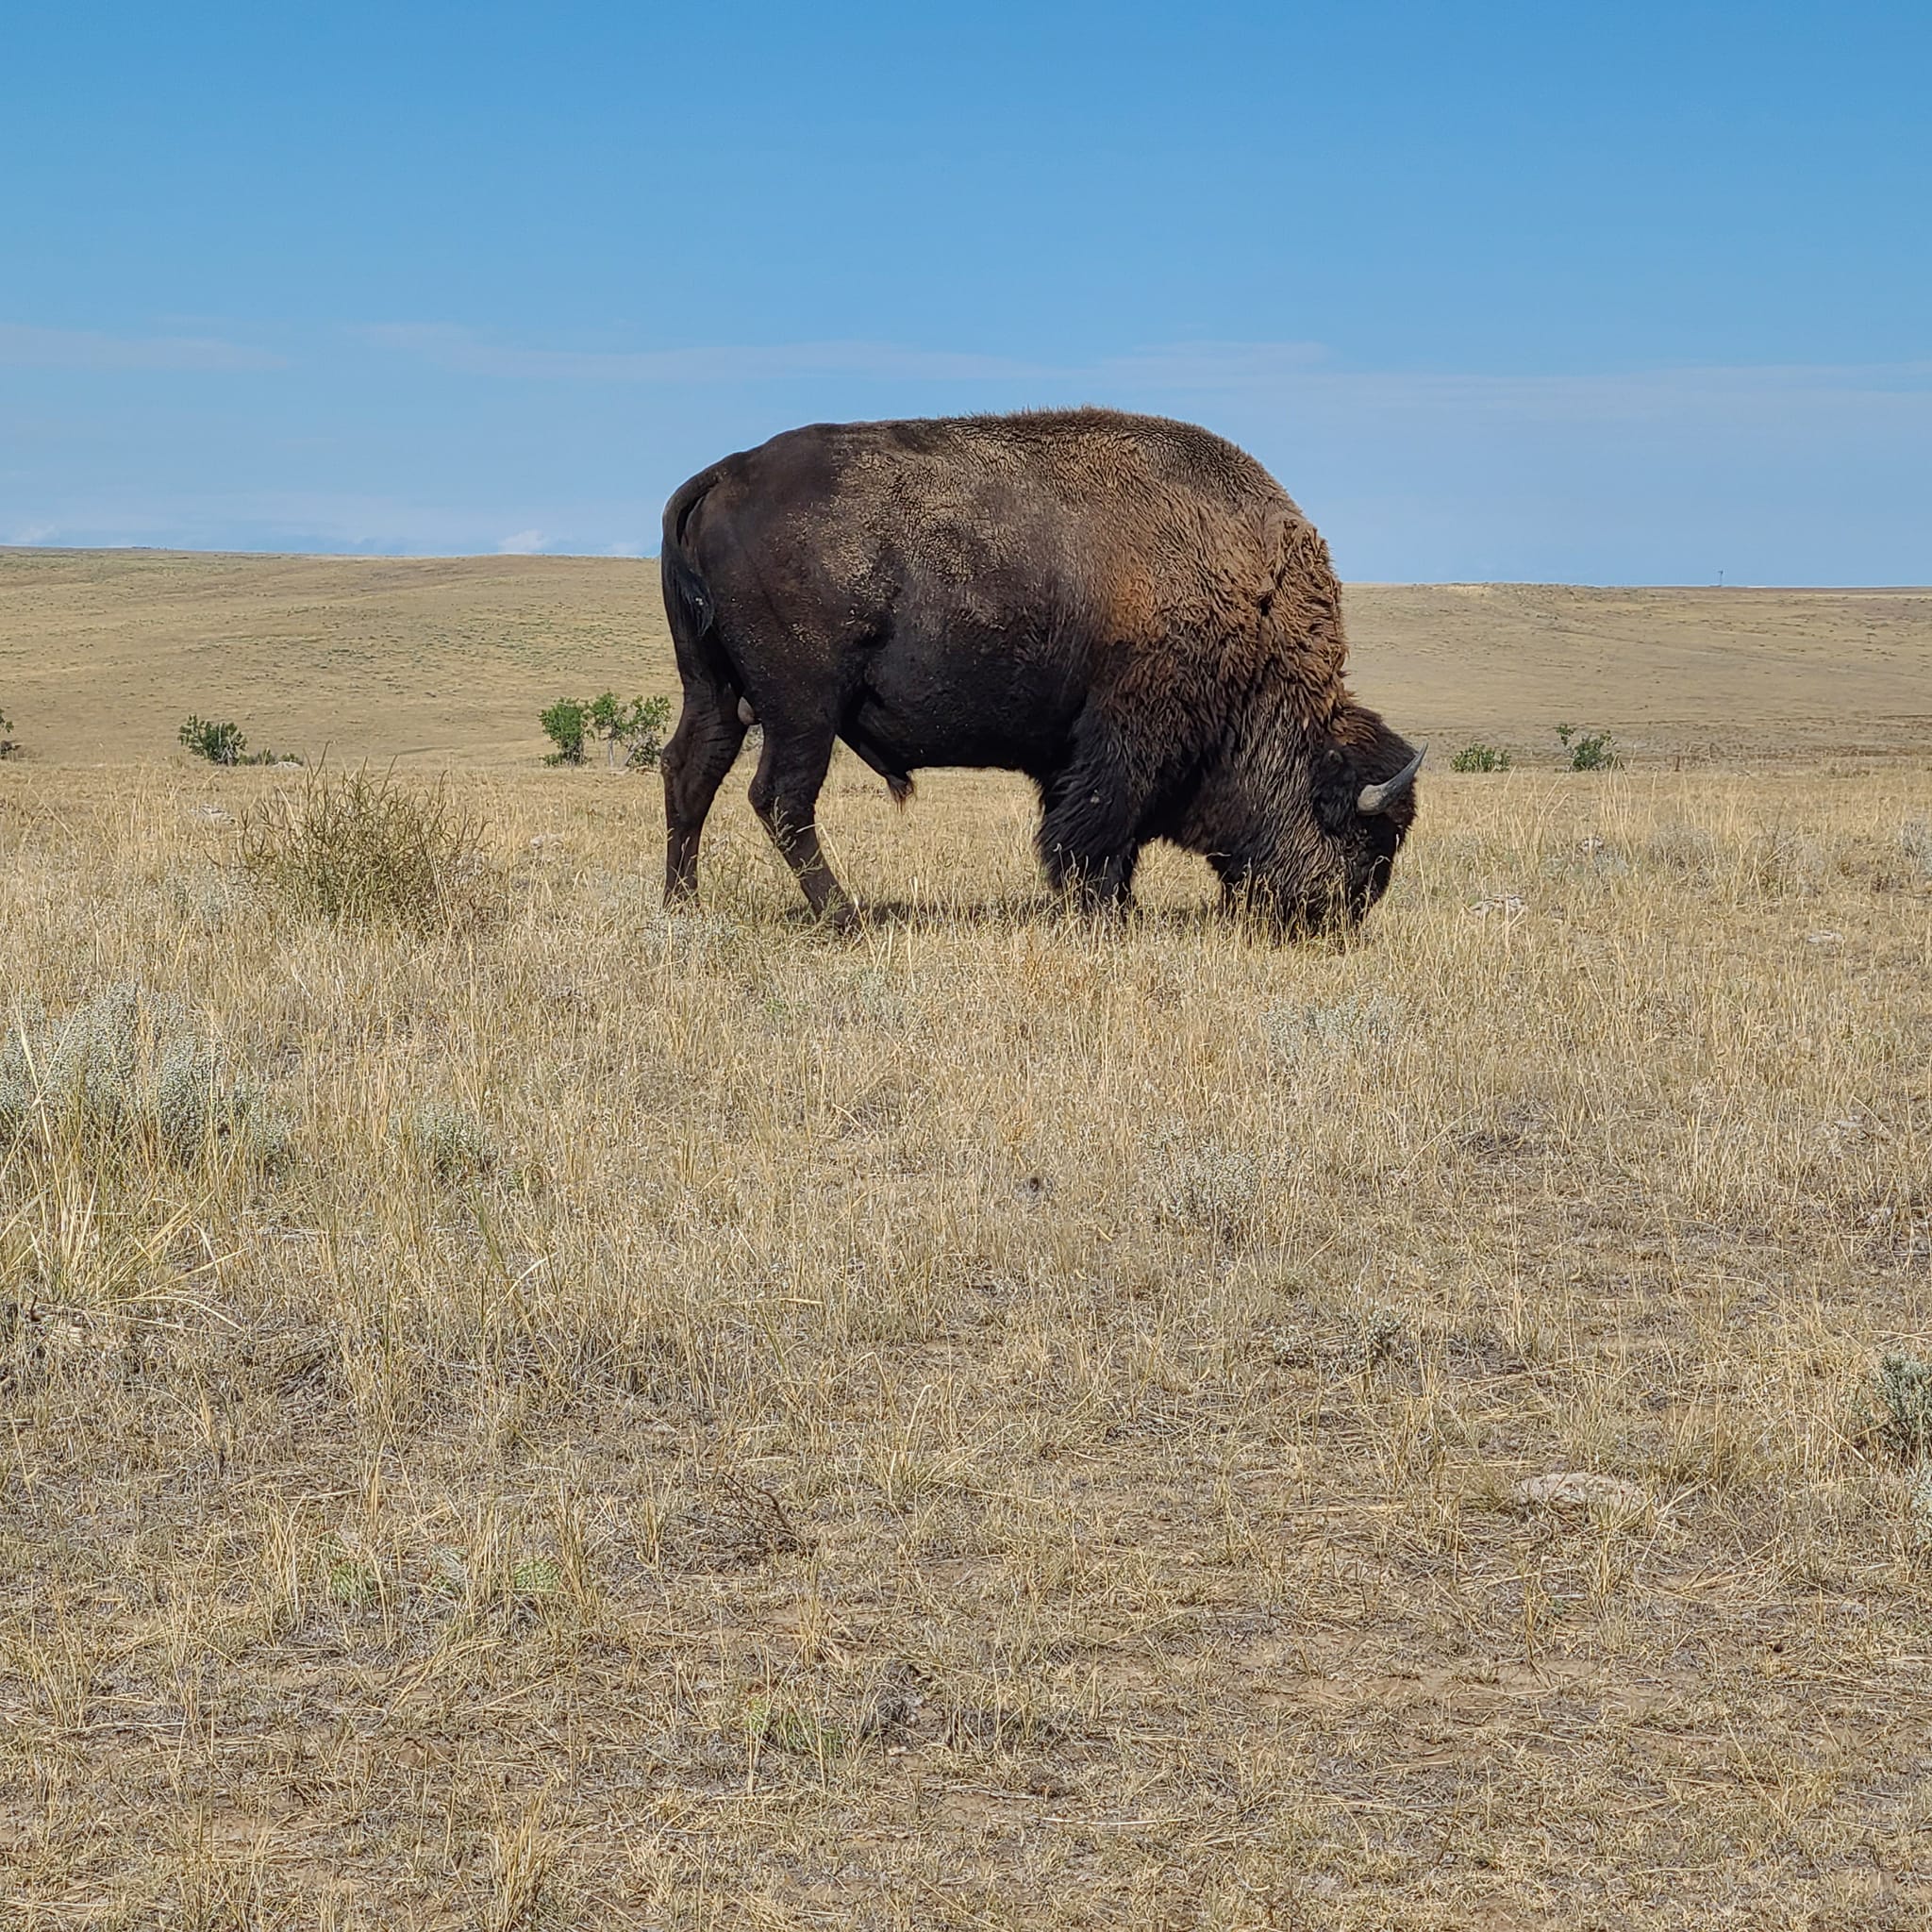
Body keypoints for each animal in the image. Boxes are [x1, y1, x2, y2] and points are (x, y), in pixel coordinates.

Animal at [658, 407, 1422, 932]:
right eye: (1366, 837)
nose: (1339, 918)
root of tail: (725, 472)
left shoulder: (1074, 752)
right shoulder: (1126, 736)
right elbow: (1096, 829)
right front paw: (1107, 913)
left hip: (715, 690)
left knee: (691, 771)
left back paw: (681, 907)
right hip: (804, 708)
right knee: (780, 799)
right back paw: (844, 916)